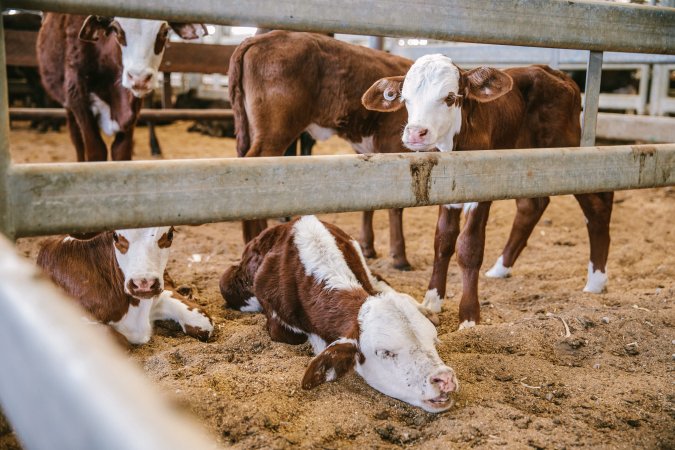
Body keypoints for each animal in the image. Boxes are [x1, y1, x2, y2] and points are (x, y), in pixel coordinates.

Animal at [37, 13, 205, 162]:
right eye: (116, 30)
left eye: (165, 32)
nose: (139, 78)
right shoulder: (77, 96)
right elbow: (95, 150)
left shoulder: (132, 110)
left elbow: (121, 152)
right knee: (76, 139)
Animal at [230, 31, 414, 272]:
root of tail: (265, 37)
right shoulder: (393, 144)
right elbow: (396, 205)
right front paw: (400, 257)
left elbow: (370, 198)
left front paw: (367, 247)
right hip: (274, 131)